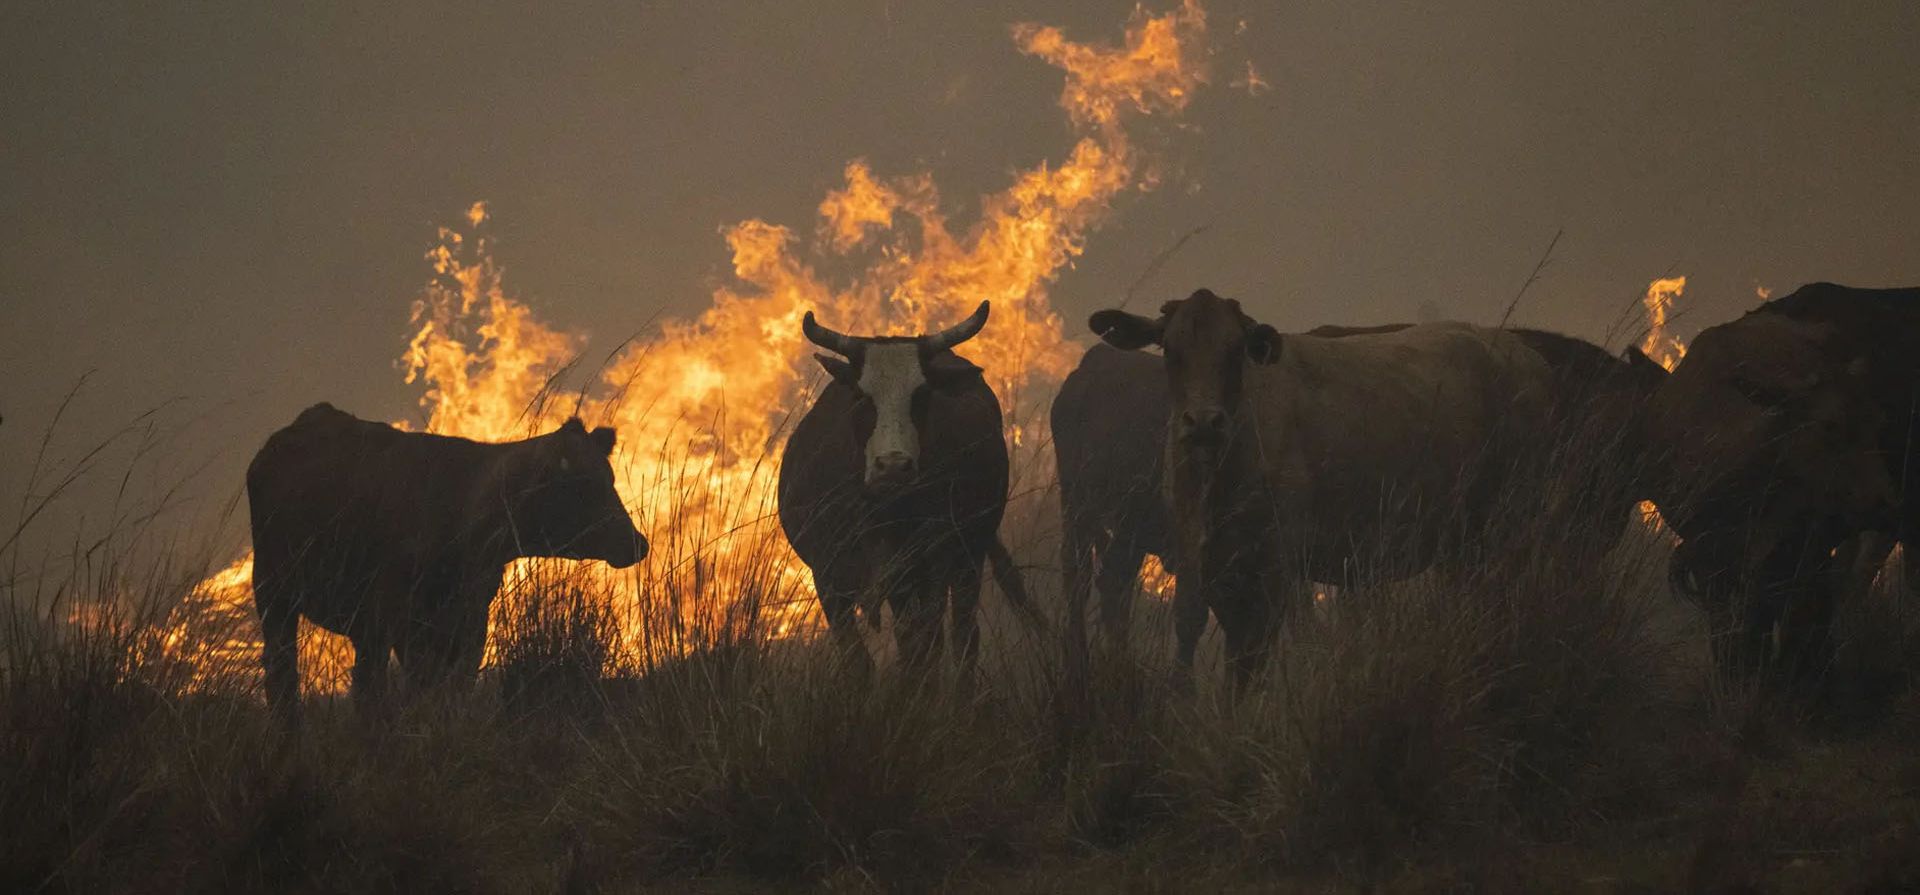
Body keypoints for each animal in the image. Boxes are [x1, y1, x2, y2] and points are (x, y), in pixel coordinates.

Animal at [247, 404, 646, 726]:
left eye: (610, 478)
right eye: (580, 486)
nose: (637, 543)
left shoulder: (469, 620)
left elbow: (452, 689)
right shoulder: (393, 617)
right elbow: (402, 689)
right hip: (273, 591)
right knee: (286, 673)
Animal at [778, 301, 1042, 675]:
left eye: (922, 395)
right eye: (861, 395)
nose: (893, 466)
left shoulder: (930, 567)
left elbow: (922, 650)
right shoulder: (829, 576)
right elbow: (859, 661)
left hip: (966, 559)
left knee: (961, 636)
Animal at [1089, 289, 1555, 689]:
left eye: (1236, 351)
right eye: (1170, 349)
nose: (1204, 422)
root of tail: (1521, 355)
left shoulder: (1276, 564)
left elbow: (1253, 660)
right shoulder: (1208, 561)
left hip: (1513, 522)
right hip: (1463, 542)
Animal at [1640, 283, 1916, 677]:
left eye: (1876, 424)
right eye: (1829, 426)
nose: (1886, 501)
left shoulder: (1801, 551)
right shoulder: (1712, 558)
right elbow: (1734, 637)